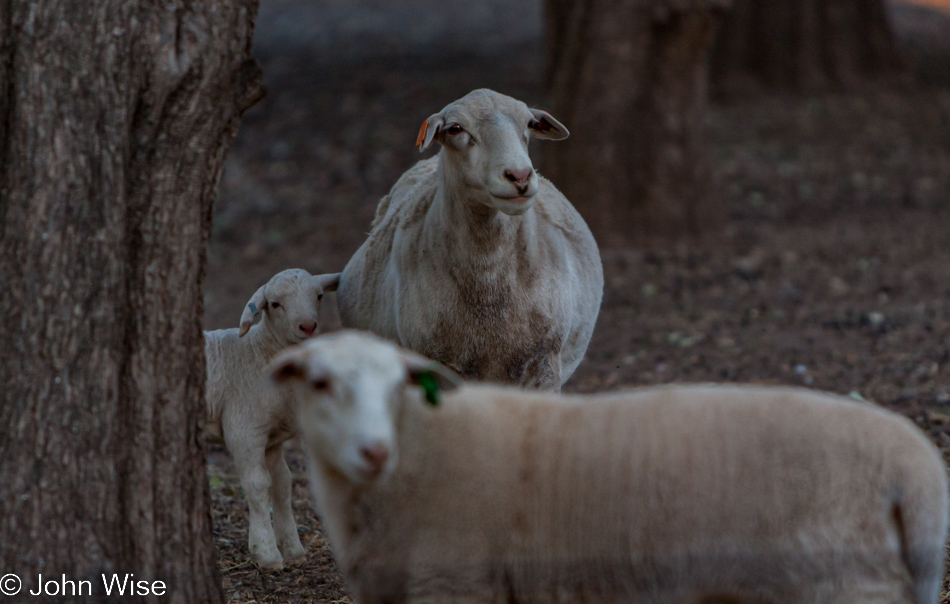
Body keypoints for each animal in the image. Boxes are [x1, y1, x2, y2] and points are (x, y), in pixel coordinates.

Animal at [205, 268, 342, 572]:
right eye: (275, 304)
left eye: (319, 296)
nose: (308, 327)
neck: (258, 353)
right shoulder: (245, 430)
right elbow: (258, 485)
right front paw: (266, 552)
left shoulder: (273, 439)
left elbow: (282, 483)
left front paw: (293, 549)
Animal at [270, 330, 950, 604]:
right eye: (321, 382)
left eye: (396, 387)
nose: (374, 451)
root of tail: (913, 462)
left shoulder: (456, 584)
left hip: (842, 583)